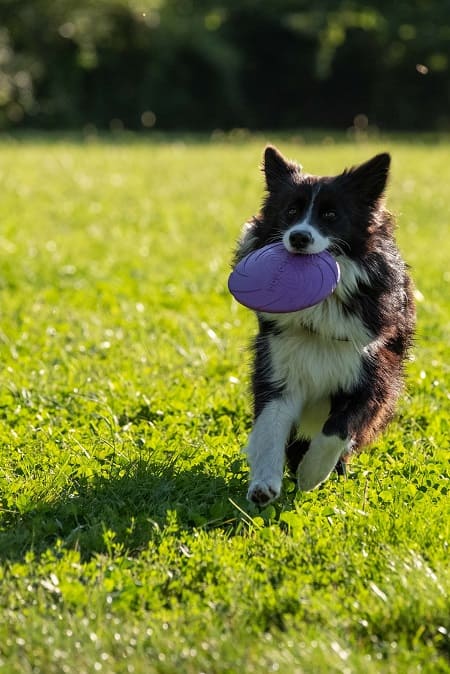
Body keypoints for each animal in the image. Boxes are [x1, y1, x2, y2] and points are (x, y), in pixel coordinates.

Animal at [234, 147, 416, 504]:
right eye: (291, 211)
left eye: (331, 215)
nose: (299, 237)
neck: (322, 306)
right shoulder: (279, 366)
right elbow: (271, 427)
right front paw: (264, 484)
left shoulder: (374, 371)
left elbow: (338, 429)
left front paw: (312, 473)